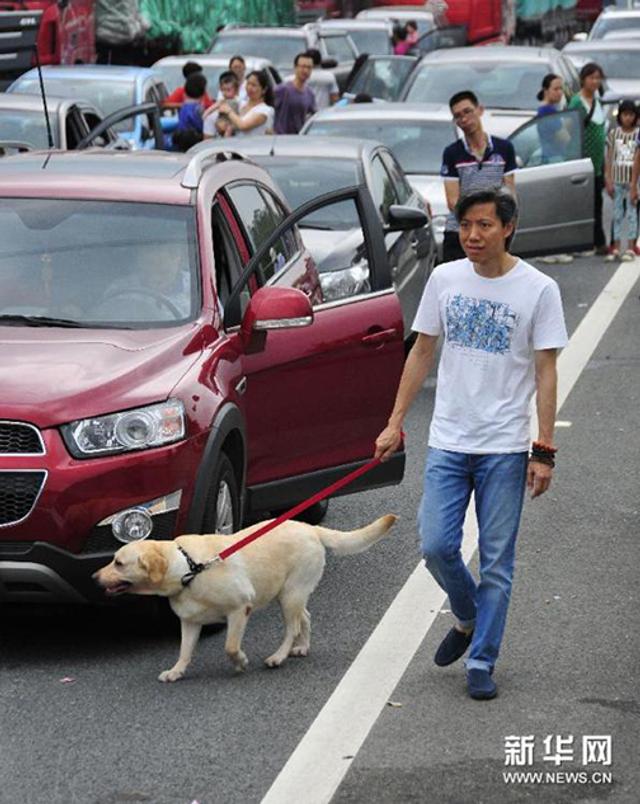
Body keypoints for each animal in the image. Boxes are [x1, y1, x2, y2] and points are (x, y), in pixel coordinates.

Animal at [94, 516, 396, 680]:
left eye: (119, 563)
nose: (94, 578)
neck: (189, 568)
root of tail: (311, 528)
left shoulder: (240, 609)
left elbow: (230, 646)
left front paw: (240, 662)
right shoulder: (190, 622)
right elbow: (184, 651)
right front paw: (176, 671)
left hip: (290, 594)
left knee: (293, 626)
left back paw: (279, 656)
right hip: (289, 593)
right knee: (305, 618)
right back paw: (302, 647)